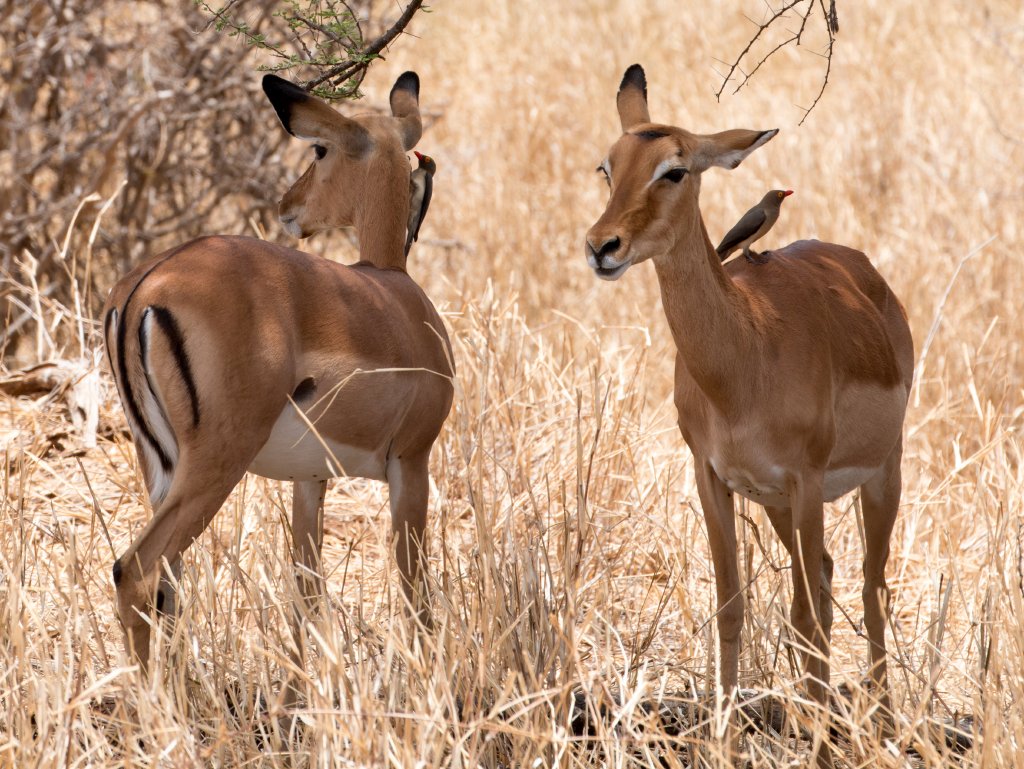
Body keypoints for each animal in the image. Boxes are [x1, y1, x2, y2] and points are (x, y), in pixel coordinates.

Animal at [103, 71, 454, 675]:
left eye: (319, 150)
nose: (289, 206)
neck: (391, 290)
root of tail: (146, 288)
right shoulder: (412, 461)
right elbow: (415, 592)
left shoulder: (310, 479)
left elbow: (306, 594)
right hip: (217, 462)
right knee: (137, 573)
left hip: (160, 466)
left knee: (167, 586)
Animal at [586, 65, 913, 760]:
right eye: (608, 166)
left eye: (674, 169)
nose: (603, 246)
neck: (743, 363)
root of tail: (864, 272)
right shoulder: (714, 478)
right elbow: (733, 605)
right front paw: (726, 743)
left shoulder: (808, 479)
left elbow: (810, 615)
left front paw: (819, 749)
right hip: (779, 506)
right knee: (825, 576)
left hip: (879, 477)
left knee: (870, 588)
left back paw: (881, 723)